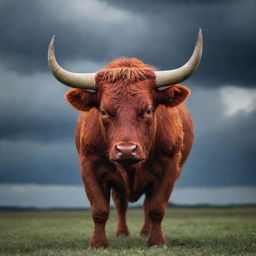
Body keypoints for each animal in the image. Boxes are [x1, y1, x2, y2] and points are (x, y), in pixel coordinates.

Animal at [47, 28, 202, 248]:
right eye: (104, 111)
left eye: (148, 110)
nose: (126, 150)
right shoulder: (89, 165)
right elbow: (100, 209)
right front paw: (98, 243)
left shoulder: (169, 166)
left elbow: (156, 208)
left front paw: (156, 241)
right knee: (121, 205)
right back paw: (122, 233)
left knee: (146, 204)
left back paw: (145, 232)